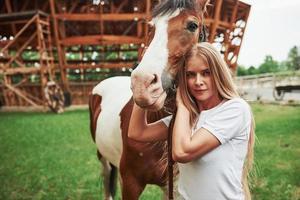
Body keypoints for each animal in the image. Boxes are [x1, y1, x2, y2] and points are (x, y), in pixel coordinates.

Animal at [89, 0, 210, 199]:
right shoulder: (131, 184)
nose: (142, 84)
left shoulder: (172, 187)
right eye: (152, 26)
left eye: (192, 25)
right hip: (102, 157)